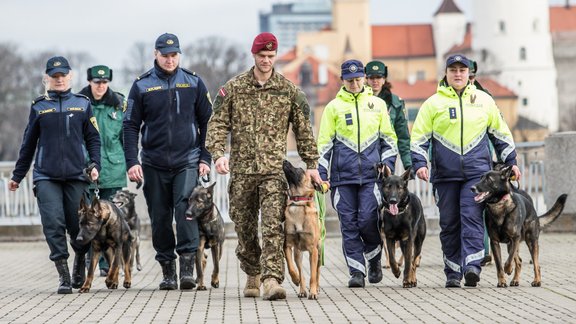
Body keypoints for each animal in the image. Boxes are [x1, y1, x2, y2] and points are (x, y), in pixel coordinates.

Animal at [282, 161, 322, 300]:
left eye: (300, 170)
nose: (285, 161)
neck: (297, 203)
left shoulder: (313, 251)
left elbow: (313, 275)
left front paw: (313, 292)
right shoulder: (287, 246)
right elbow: (290, 267)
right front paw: (295, 279)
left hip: (319, 253)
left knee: (317, 272)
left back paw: (316, 289)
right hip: (298, 254)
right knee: (300, 271)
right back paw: (302, 289)